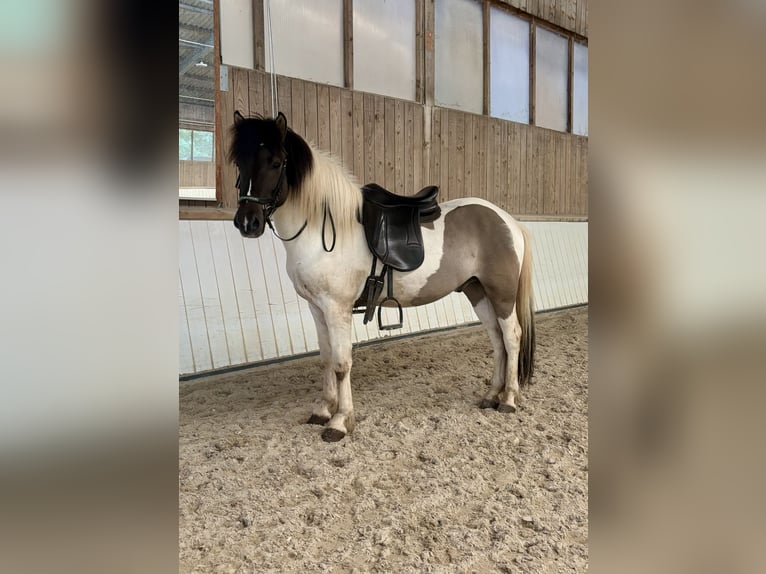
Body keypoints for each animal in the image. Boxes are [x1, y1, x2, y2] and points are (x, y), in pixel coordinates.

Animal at [230, 111, 535, 442]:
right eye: (239, 162)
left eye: (275, 163)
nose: (247, 223)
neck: (324, 227)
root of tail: (507, 220)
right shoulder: (317, 307)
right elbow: (325, 359)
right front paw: (322, 410)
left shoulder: (336, 308)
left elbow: (341, 363)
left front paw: (340, 421)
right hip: (477, 291)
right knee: (496, 339)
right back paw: (491, 395)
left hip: (501, 293)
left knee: (511, 336)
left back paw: (508, 399)